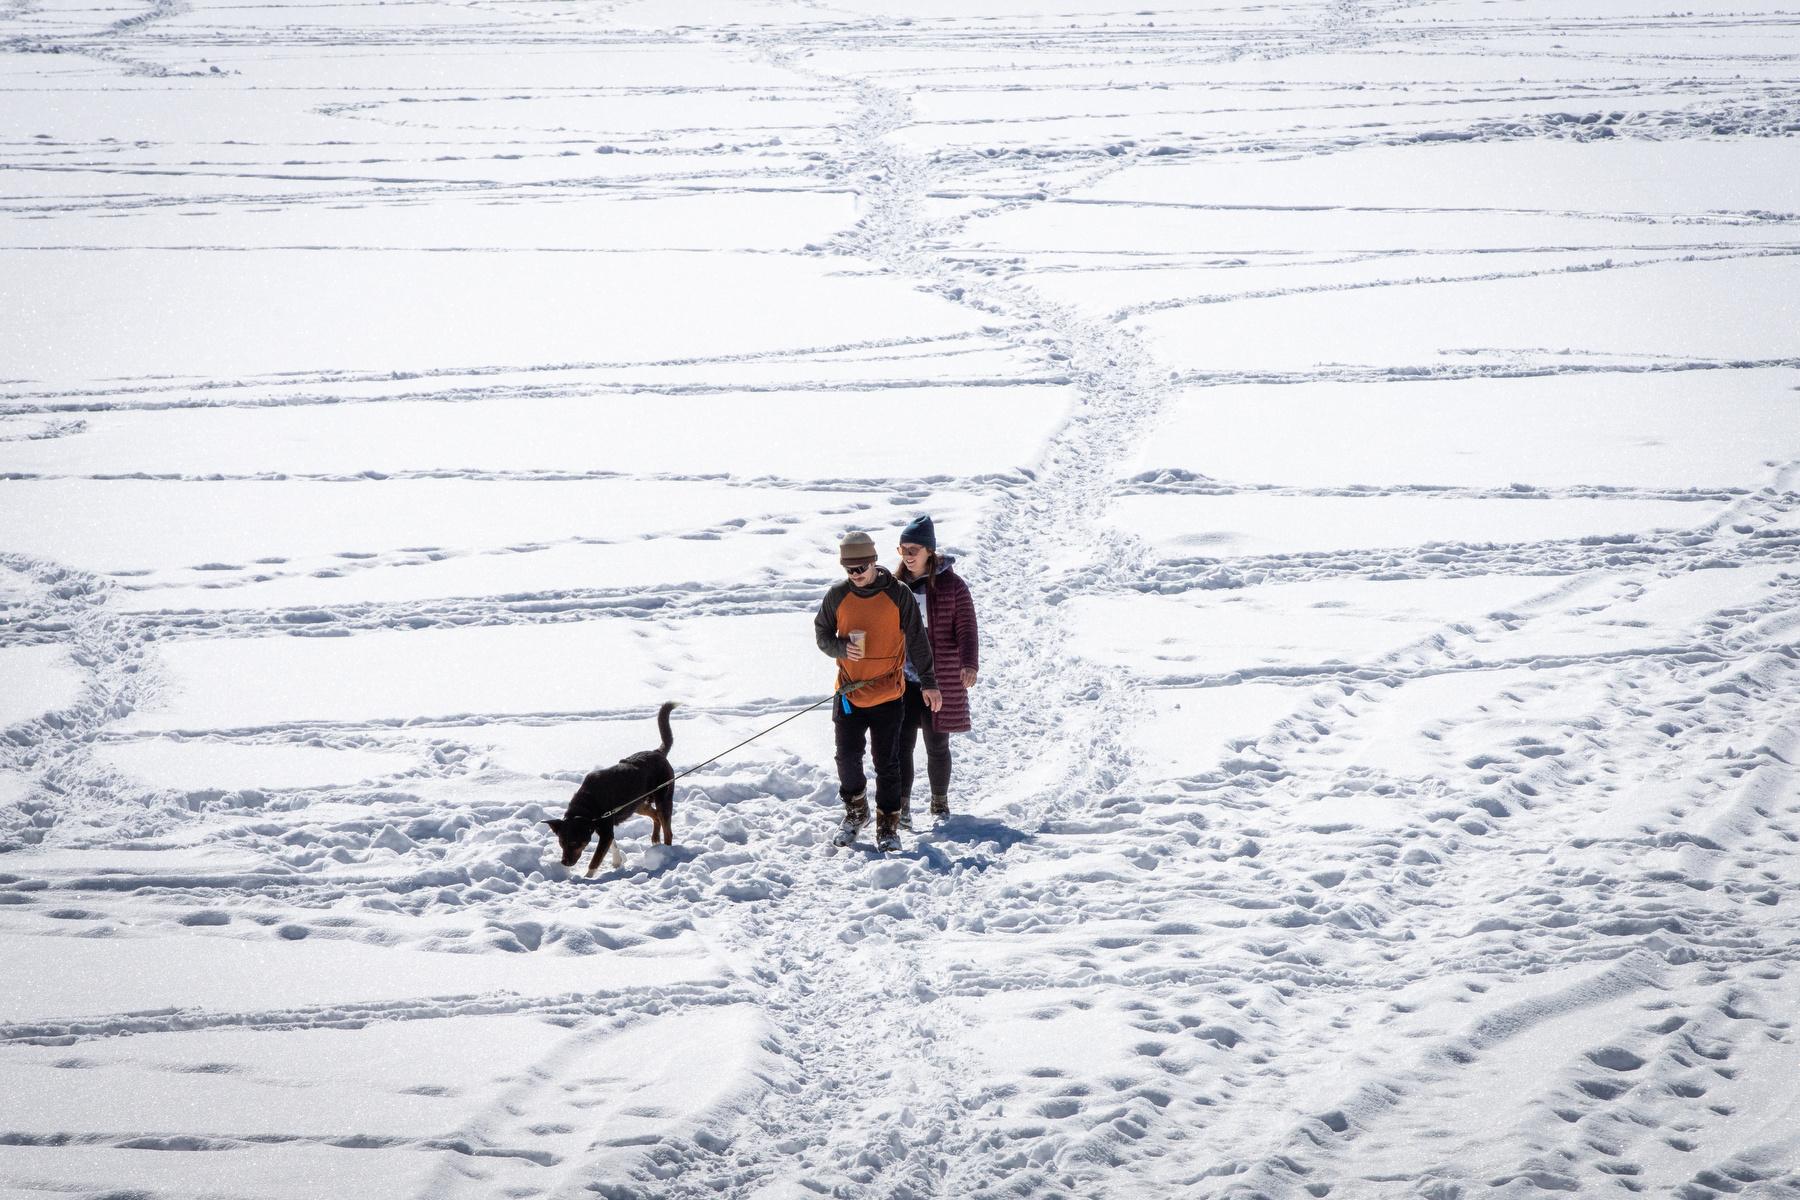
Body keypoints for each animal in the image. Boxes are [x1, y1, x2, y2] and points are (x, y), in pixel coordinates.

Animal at [543, 698, 676, 877]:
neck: (586, 806)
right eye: (561, 842)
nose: (564, 862)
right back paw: (655, 840)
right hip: (637, 804)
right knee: (655, 816)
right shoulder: (607, 827)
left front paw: (586, 878)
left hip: (663, 798)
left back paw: (666, 853)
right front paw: (617, 861)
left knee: (667, 828)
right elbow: (613, 843)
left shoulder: (605, 831)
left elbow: (595, 859)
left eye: (574, 843)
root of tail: (658, 752)